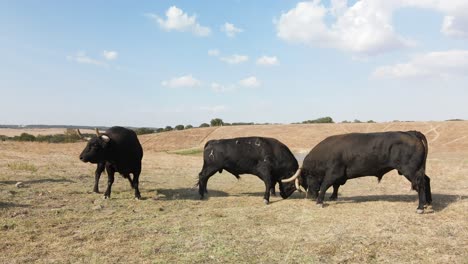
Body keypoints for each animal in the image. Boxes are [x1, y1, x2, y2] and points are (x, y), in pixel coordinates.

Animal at [282, 131, 432, 213]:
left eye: (306, 179)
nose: (310, 196)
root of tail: (411, 132)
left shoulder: (333, 173)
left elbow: (325, 185)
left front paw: (320, 201)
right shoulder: (339, 176)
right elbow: (335, 186)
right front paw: (333, 197)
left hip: (410, 170)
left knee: (420, 185)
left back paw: (420, 207)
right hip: (418, 170)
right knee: (426, 180)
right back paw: (427, 202)